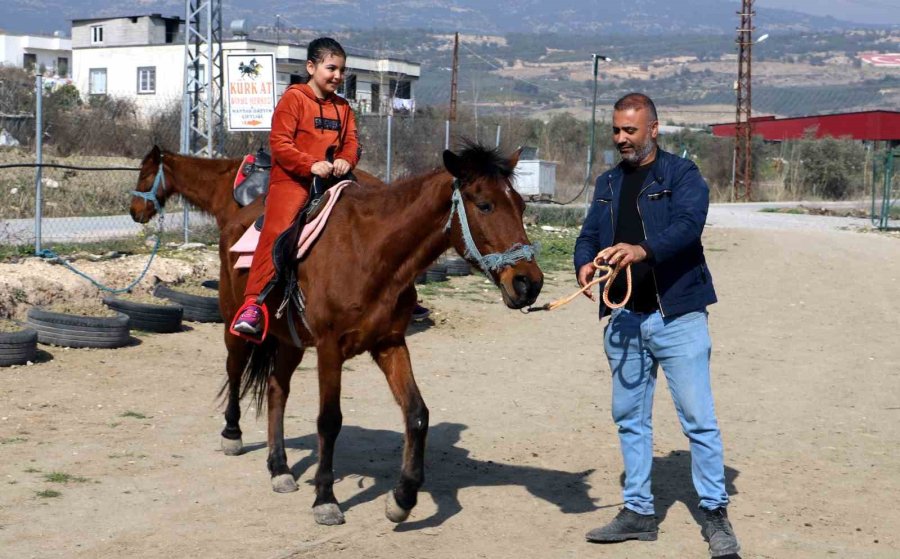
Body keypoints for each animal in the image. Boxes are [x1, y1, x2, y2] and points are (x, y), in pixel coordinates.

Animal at [130, 143, 544, 524]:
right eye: (484, 205)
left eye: (521, 206)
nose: (529, 283)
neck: (371, 251)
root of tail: (237, 221)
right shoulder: (330, 349)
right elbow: (329, 421)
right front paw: (325, 499)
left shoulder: (390, 343)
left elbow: (416, 413)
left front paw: (403, 497)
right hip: (237, 324)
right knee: (235, 370)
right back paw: (232, 435)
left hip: (291, 341)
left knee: (277, 390)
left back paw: (279, 467)